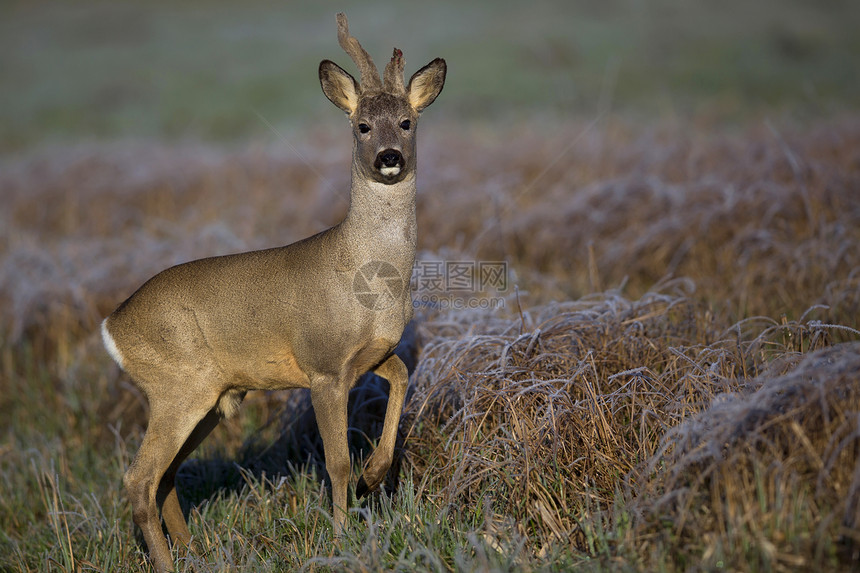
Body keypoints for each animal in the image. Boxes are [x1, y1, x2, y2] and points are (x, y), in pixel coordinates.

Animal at [102, 12, 444, 568]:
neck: (367, 278)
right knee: (138, 477)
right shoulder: (323, 365)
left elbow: (401, 376)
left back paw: (197, 549)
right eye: (362, 125)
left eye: (407, 122)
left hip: (212, 396)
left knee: (165, 475)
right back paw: (170, 561)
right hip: (178, 385)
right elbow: (335, 462)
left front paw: (374, 476)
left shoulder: (369, 355)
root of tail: (111, 326)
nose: (389, 156)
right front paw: (342, 537)